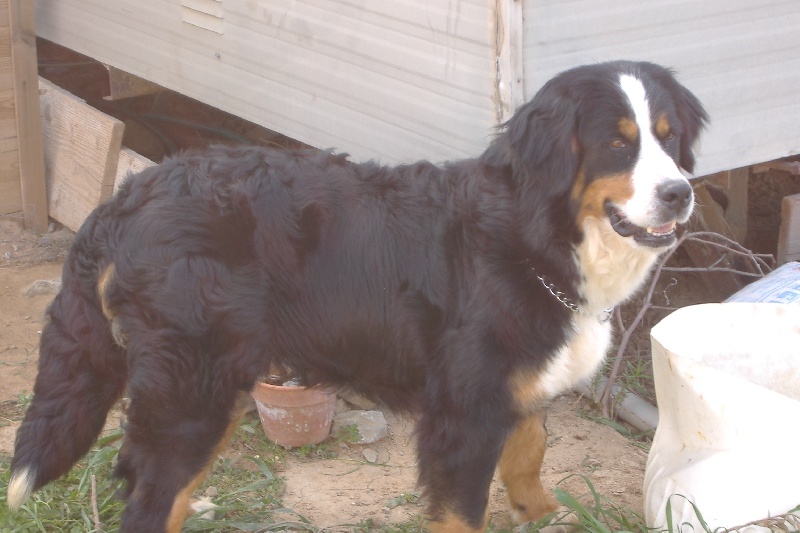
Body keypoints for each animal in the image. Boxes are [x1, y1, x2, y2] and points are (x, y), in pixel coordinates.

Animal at [9, 60, 707, 532]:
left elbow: (530, 449)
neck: (534, 235)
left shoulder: (517, 384)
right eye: (617, 141)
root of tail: (130, 195)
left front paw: (541, 511)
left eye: (669, 137)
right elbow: (465, 509)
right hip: (193, 389)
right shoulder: (464, 413)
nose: (680, 193)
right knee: (150, 500)